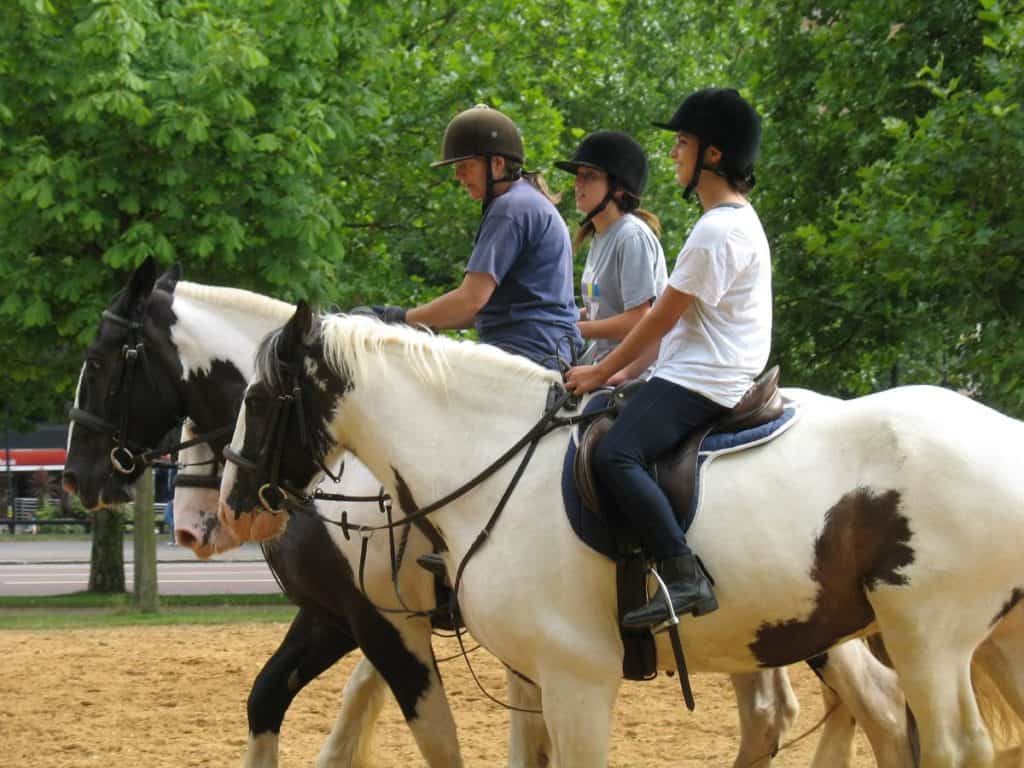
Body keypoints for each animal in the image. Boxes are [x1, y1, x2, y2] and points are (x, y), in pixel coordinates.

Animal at [222, 307, 1024, 768]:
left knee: (943, 741)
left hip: (925, 637)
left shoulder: (570, 672)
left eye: (258, 398)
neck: (491, 462)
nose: (232, 505)